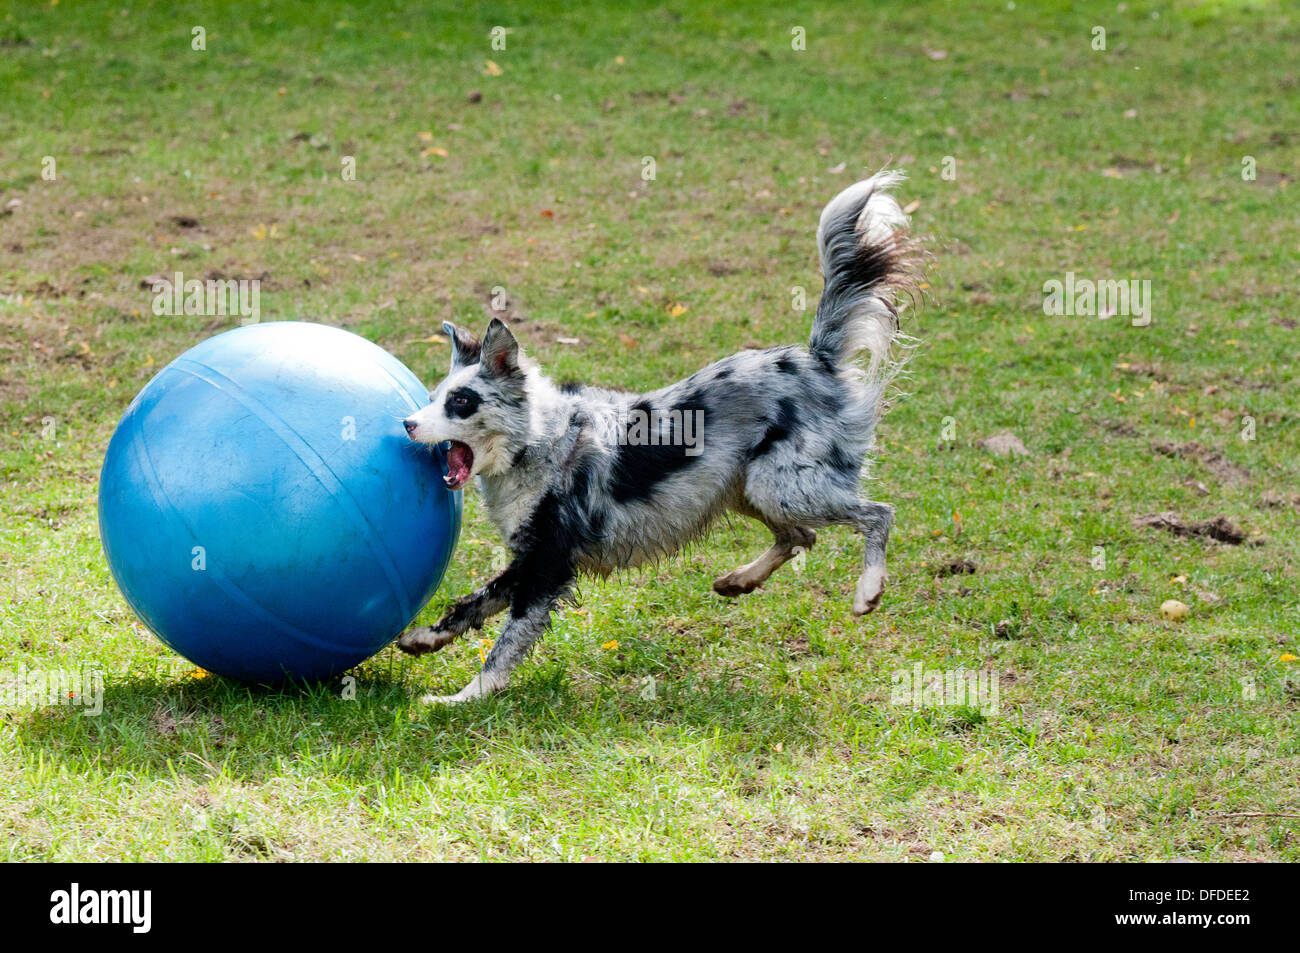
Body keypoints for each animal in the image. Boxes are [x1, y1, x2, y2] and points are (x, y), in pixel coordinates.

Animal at [400, 171, 920, 696]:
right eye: (433, 396)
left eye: (461, 402)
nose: (406, 423)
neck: (538, 442)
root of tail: (816, 358)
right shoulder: (529, 558)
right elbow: (474, 602)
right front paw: (423, 639)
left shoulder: (548, 562)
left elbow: (506, 641)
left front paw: (464, 698)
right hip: (753, 489)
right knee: (800, 536)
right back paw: (738, 581)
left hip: (785, 486)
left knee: (878, 514)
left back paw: (868, 590)